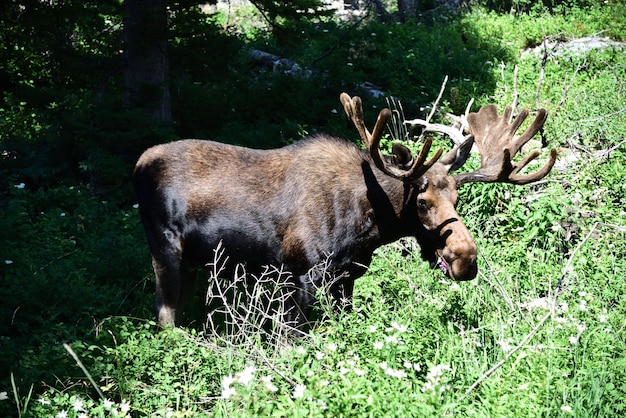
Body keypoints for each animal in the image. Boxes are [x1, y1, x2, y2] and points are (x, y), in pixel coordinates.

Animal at [133, 93, 556, 332]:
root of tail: (137, 165)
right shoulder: (300, 276)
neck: (368, 225)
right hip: (165, 250)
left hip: (192, 261)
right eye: (422, 202)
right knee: (164, 314)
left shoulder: (346, 277)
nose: (465, 258)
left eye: (457, 199)